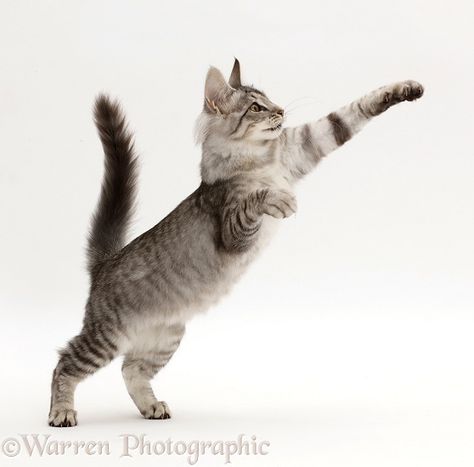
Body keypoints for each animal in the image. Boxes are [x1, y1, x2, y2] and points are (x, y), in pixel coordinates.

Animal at [49, 59, 426, 428]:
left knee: (131, 371)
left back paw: (152, 407)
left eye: (269, 99)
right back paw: (61, 412)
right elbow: (254, 201)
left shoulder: (303, 144)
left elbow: (350, 112)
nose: (281, 110)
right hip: (107, 335)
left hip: (165, 337)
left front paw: (404, 88)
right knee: (64, 363)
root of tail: (106, 262)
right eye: (256, 107)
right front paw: (277, 198)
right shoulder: (231, 228)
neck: (259, 159)